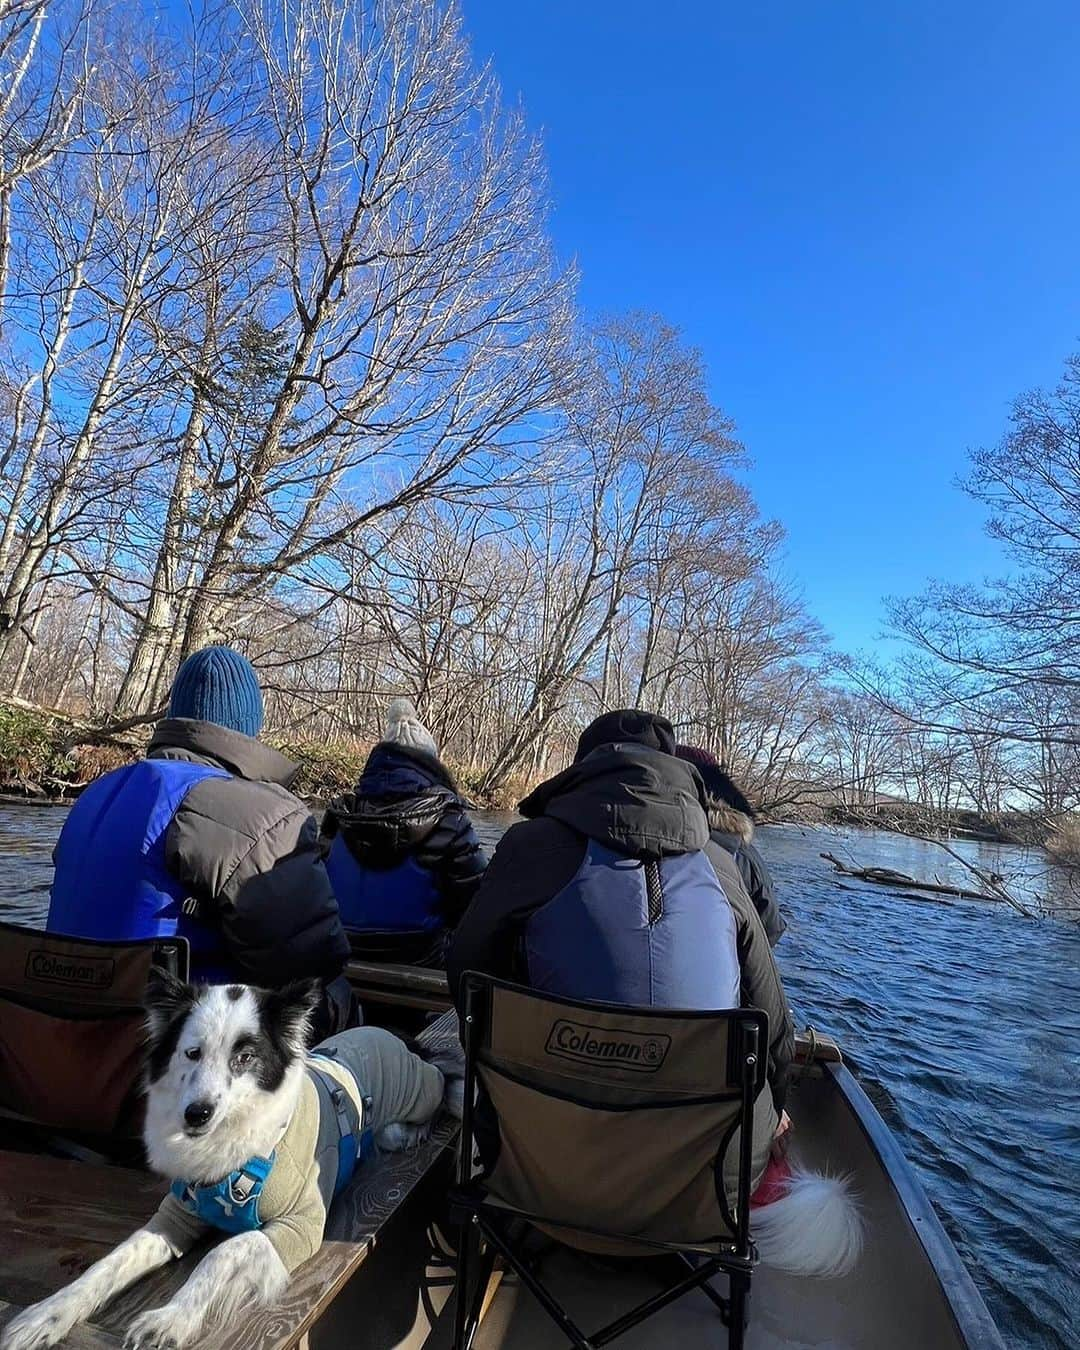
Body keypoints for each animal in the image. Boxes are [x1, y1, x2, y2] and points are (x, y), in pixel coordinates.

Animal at [0, 972, 459, 1350]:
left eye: (245, 1057)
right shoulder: (175, 1217)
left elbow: (223, 1251)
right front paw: (44, 1315)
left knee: (443, 1084)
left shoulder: (300, 1226)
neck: (229, 1147)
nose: (196, 1114)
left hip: (417, 1091)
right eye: (191, 1053)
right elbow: (111, 1262)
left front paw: (171, 1318)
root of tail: (395, 1035)